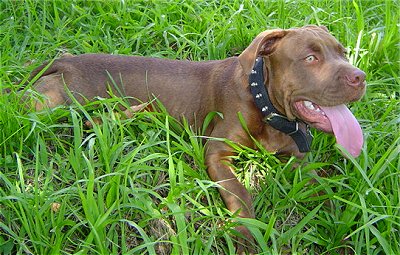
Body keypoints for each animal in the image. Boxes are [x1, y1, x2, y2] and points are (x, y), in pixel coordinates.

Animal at [27, 24, 366, 252]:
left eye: (343, 52)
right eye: (310, 58)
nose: (359, 77)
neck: (264, 101)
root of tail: (64, 60)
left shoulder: (299, 159)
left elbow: (323, 189)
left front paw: (343, 224)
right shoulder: (216, 152)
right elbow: (240, 193)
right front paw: (247, 236)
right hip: (50, 103)